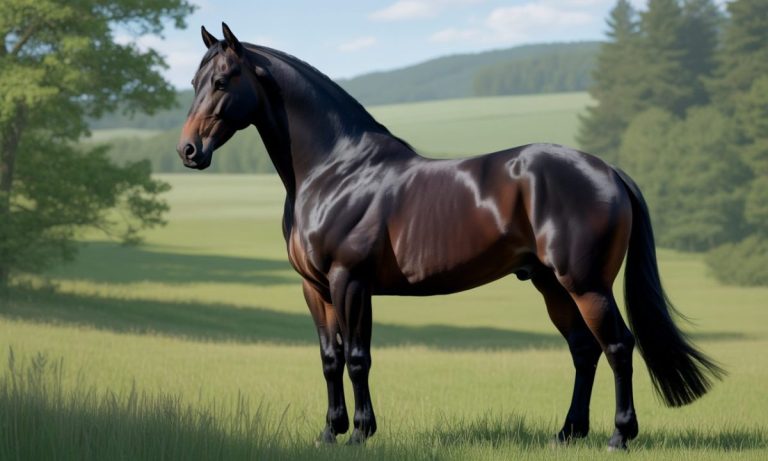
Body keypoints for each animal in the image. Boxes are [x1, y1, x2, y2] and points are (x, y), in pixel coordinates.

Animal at [177, 23, 723, 450]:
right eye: (194, 81)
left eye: (222, 80)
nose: (188, 151)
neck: (336, 170)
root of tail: (608, 170)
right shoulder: (314, 288)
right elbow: (330, 360)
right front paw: (329, 432)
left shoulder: (349, 281)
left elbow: (357, 358)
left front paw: (361, 433)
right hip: (550, 284)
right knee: (583, 350)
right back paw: (568, 433)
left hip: (586, 284)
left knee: (617, 347)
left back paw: (618, 436)